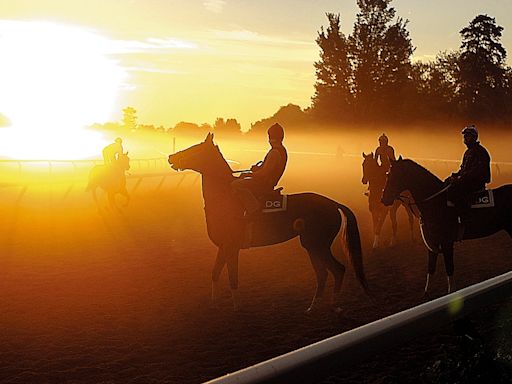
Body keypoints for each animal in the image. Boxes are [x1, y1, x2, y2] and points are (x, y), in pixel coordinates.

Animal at [168, 134, 368, 310]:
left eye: (195, 149)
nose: (171, 157)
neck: (227, 201)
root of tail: (333, 203)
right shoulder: (223, 247)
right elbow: (215, 273)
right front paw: (214, 304)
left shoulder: (232, 248)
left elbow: (233, 278)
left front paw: (236, 308)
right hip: (312, 246)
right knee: (323, 274)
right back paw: (313, 307)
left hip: (317, 245)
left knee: (337, 270)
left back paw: (332, 305)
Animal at [382, 158, 510, 296]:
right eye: (387, 175)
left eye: (394, 176)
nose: (384, 199)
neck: (437, 202)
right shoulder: (432, 242)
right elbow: (431, 268)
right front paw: (426, 293)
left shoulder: (447, 243)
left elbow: (449, 268)